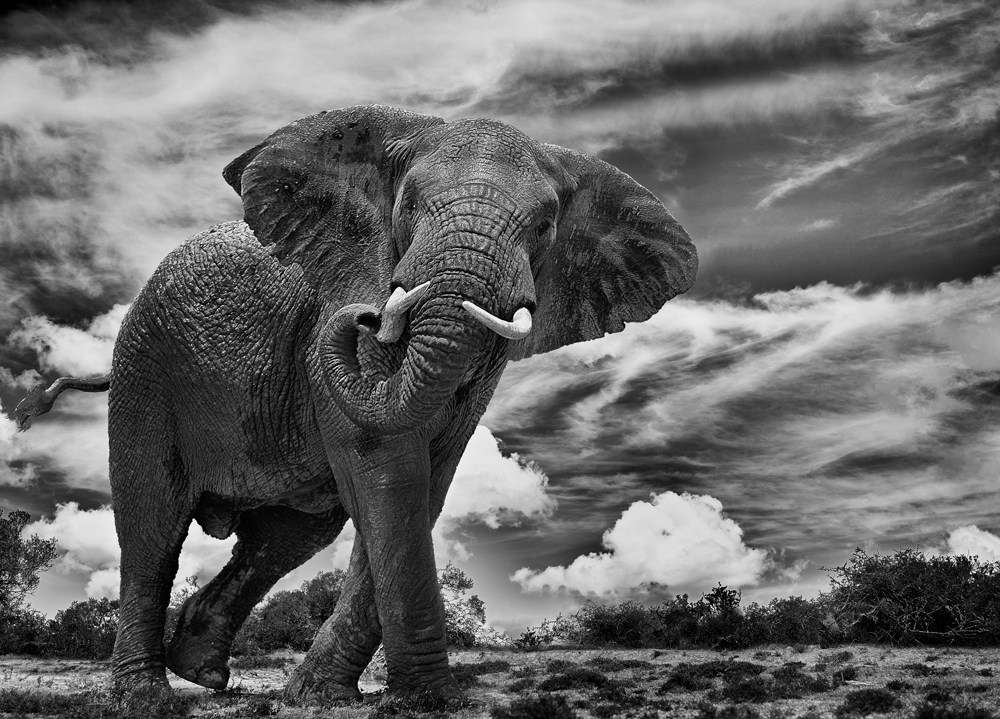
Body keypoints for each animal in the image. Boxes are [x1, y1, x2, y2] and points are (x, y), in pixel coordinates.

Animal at [13, 104, 697, 702]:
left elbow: (422, 487)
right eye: (408, 206)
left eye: (543, 227)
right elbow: (386, 470)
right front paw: (424, 700)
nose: (367, 313)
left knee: (286, 539)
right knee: (153, 527)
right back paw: (145, 695)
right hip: (146, 368)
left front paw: (323, 696)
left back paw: (203, 674)